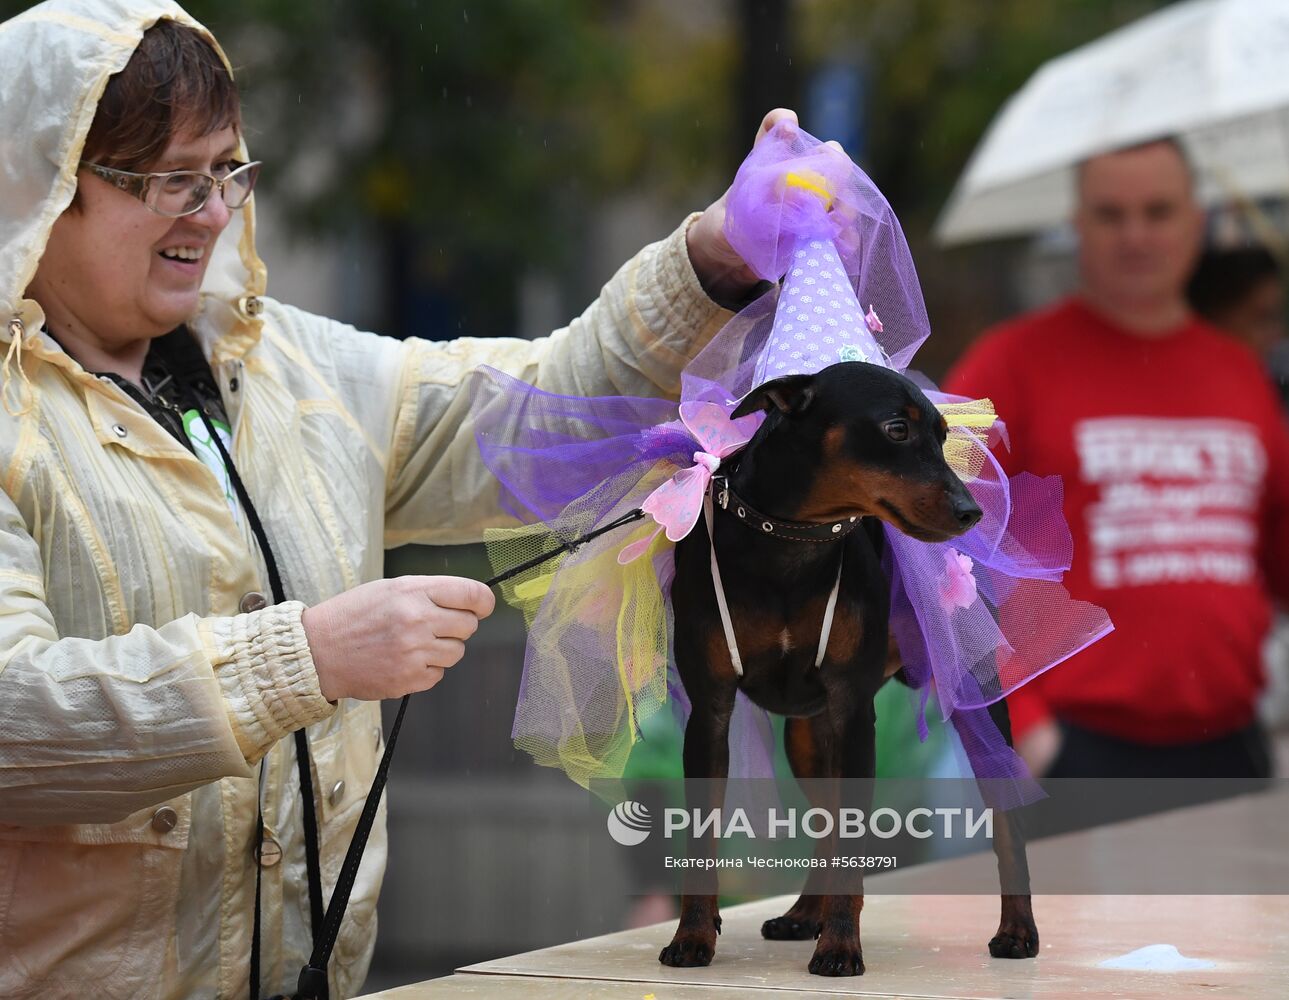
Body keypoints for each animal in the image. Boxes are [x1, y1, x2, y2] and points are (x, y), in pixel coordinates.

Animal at [659, 360, 1041, 974]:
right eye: (897, 430)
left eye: (944, 436)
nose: (970, 511)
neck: (791, 542)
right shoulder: (711, 713)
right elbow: (702, 839)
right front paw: (693, 936)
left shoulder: (854, 713)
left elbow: (854, 842)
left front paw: (840, 947)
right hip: (808, 737)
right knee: (827, 820)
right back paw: (802, 916)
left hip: (972, 700)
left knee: (1006, 824)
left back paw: (1016, 930)